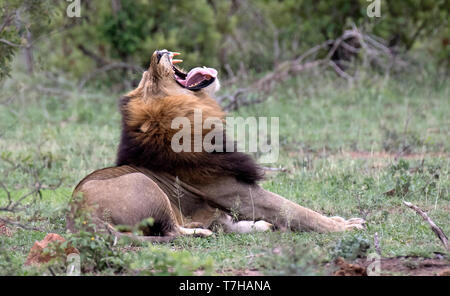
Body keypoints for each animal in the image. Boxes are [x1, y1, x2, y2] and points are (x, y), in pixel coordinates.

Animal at [67, 49, 364, 243]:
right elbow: (296, 210)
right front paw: (344, 227)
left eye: (145, 75)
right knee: (173, 231)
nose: (159, 52)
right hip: (146, 184)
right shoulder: (234, 190)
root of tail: (78, 218)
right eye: (150, 81)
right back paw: (204, 231)